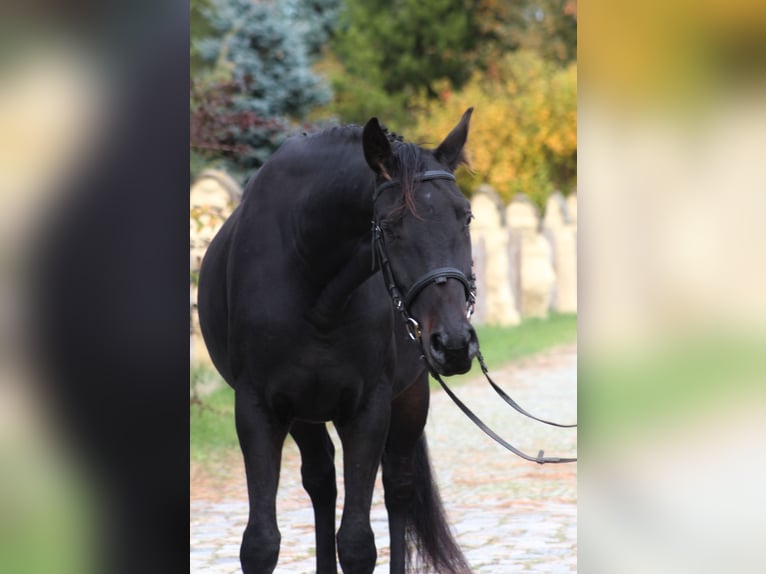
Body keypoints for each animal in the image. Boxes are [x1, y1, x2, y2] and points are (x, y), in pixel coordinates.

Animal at [201, 109, 484, 574]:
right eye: (390, 226)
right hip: (304, 414)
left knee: (398, 489)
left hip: (409, 399)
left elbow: (356, 543)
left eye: (466, 216)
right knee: (322, 482)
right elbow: (260, 543)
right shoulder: (258, 408)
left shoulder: (369, 408)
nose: (454, 343)